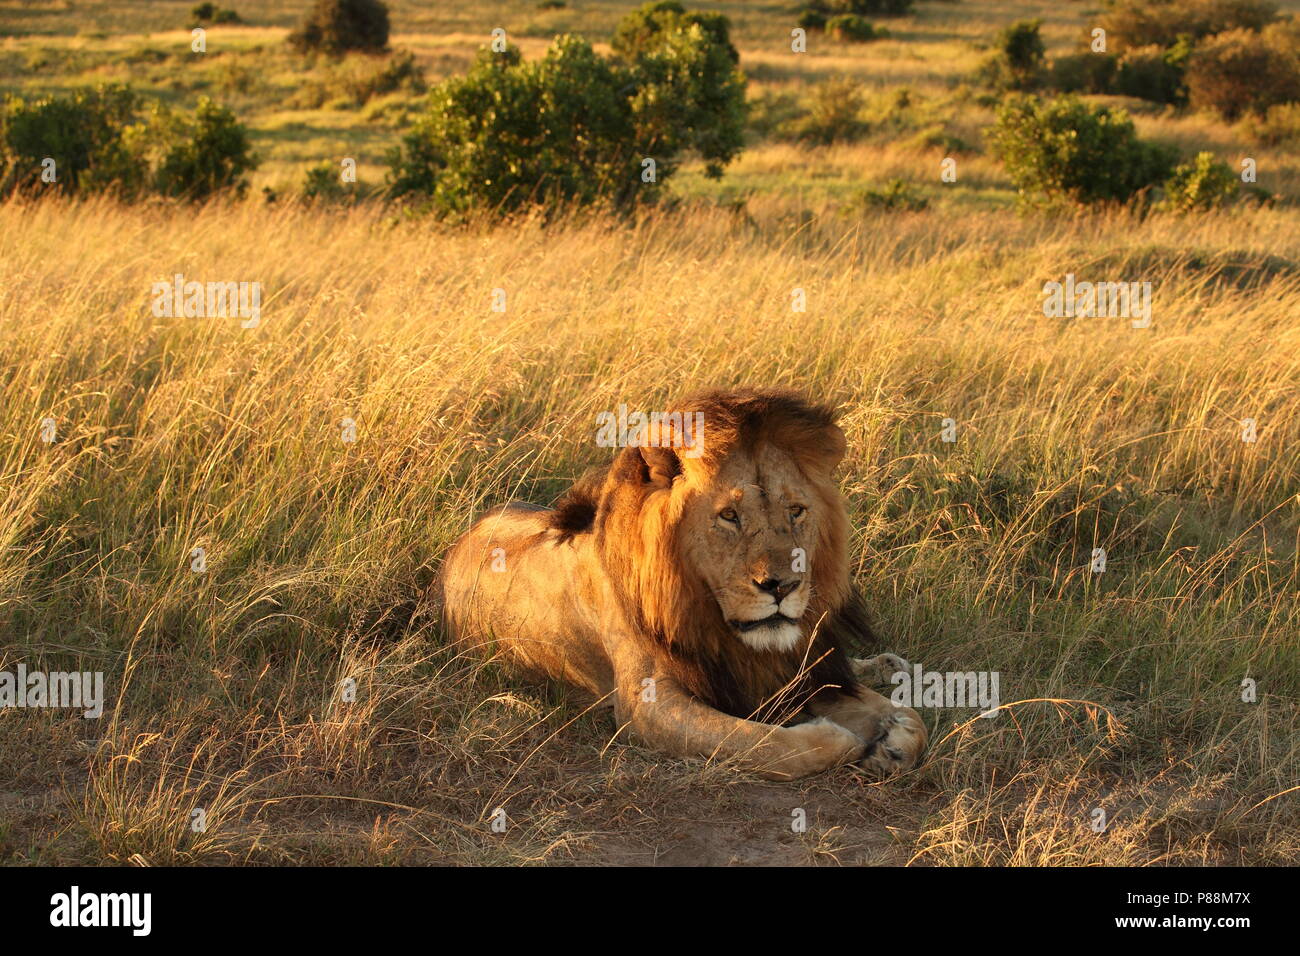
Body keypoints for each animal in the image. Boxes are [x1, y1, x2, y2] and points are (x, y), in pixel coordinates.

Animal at [441, 387, 930, 780]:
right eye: (729, 515)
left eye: (796, 511)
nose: (782, 587)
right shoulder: (647, 705)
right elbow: (760, 744)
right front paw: (842, 740)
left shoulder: (789, 668)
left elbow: (909, 719)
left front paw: (892, 739)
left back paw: (888, 665)